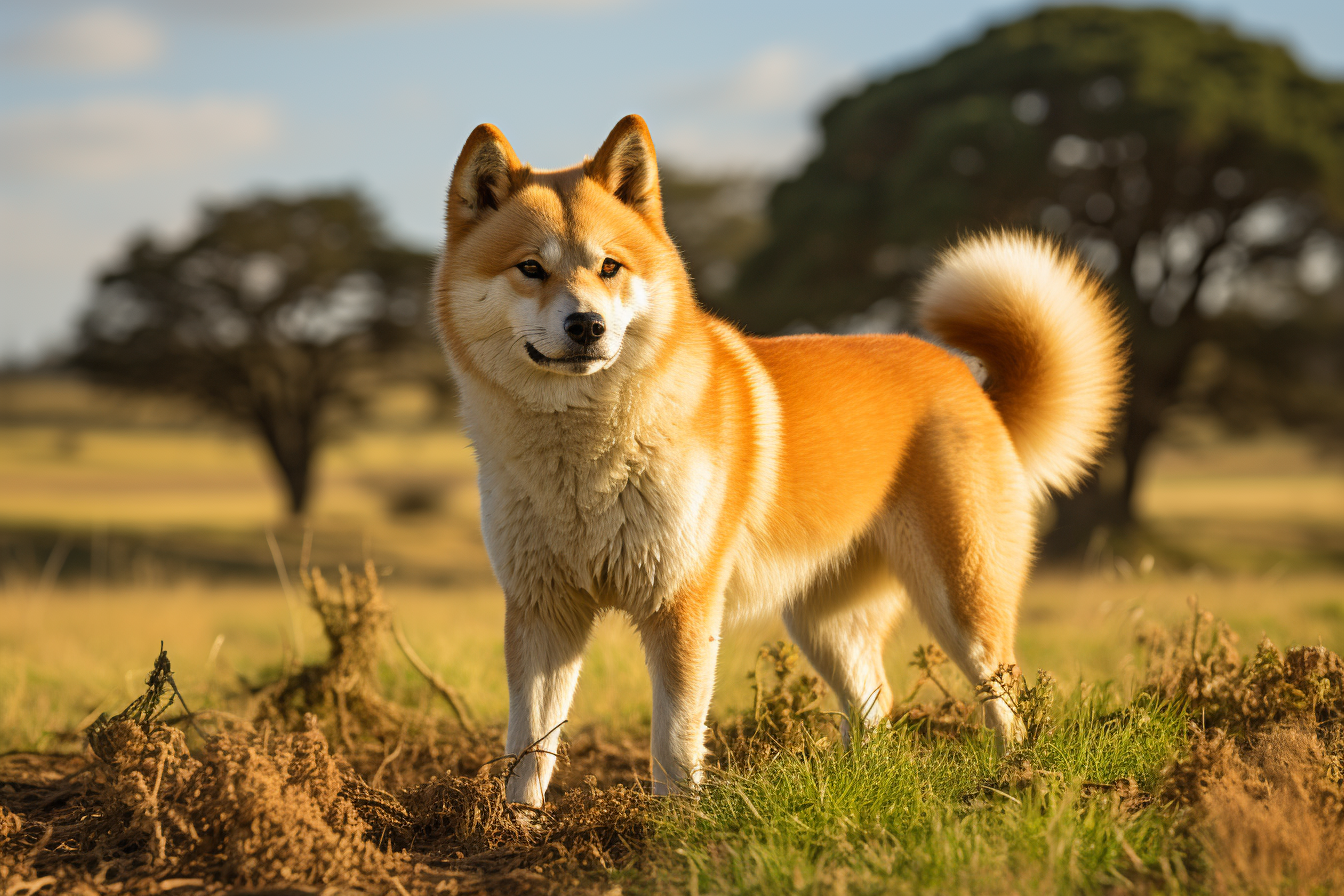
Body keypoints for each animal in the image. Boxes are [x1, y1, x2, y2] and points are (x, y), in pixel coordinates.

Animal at [432, 115, 1123, 811]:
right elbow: (530, 747)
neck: (582, 465)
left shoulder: (683, 605)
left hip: (964, 604)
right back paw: (857, 784)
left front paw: (672, 823)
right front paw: (513, 825)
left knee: (1009, 707)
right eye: (530, 268)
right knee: (876, 708)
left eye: (609, 266)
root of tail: (972, 384)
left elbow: (674, 744)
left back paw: (1018, 781)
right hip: (824, 622)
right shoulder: (542, 609)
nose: (587, 325)